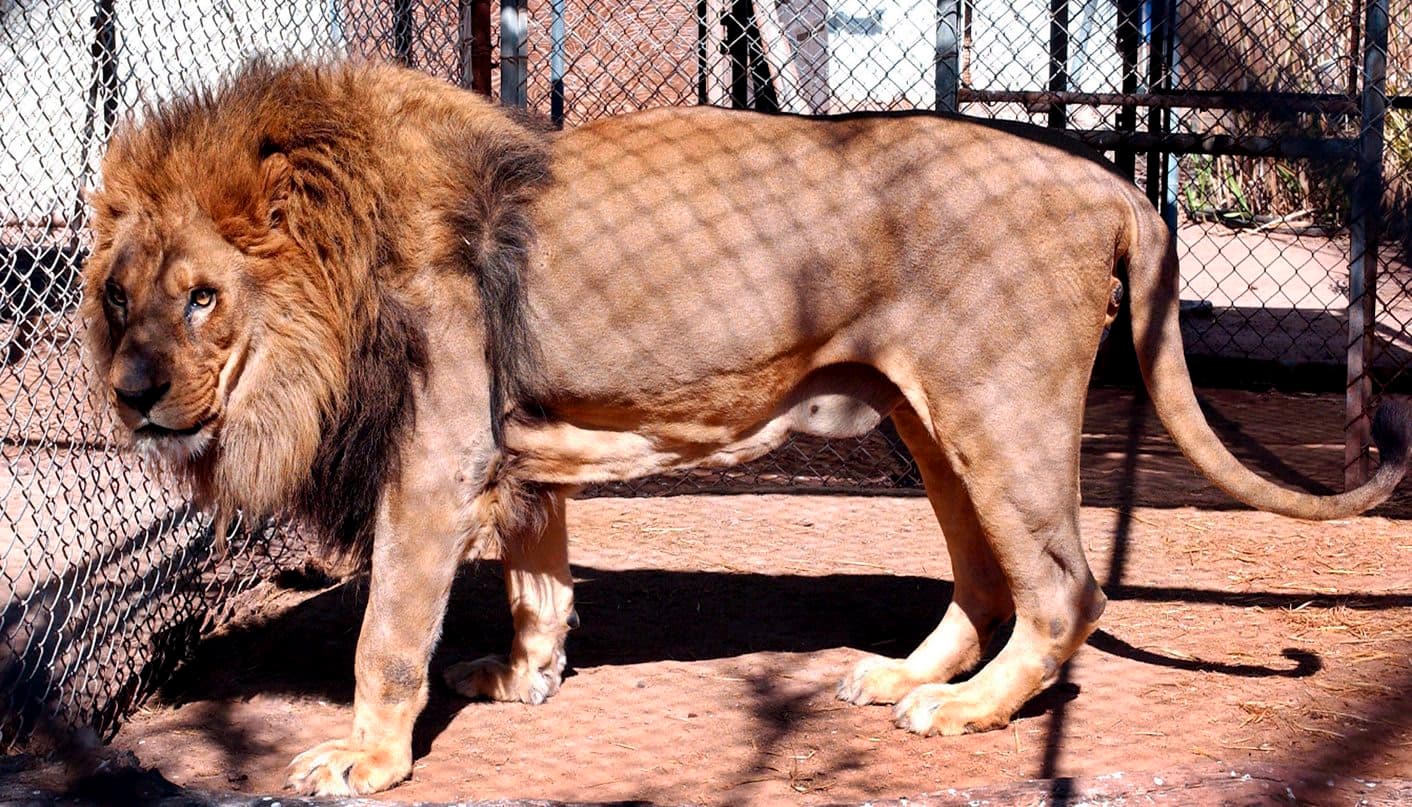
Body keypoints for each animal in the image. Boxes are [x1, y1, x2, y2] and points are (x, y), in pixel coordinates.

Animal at [82, 59, 1408, 796]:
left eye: (202, 297)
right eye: (116, 295)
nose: (132, 394)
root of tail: (1110, 180)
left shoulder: (434, 456)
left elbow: (386, 637)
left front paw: (366, 761)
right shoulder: (516, 446)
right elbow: (536, 579)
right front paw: (525, 679)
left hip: (998, 410)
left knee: (1062, 588)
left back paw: (964, 709)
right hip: (926, 420)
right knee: (984, 581)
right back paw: (904, 676)